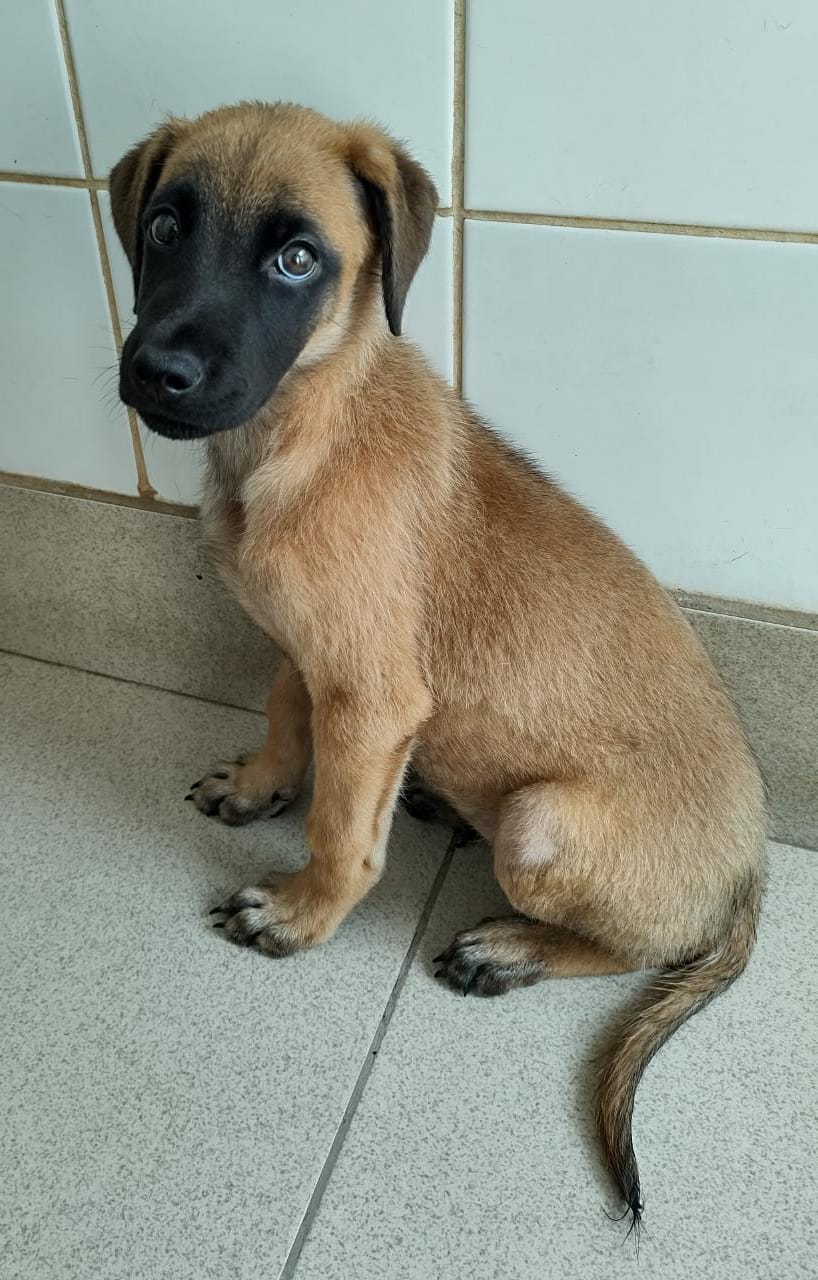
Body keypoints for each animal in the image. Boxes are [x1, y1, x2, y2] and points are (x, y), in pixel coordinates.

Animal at [110, 99, 768, 1218]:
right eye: (162, 226)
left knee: (636, 948)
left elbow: (341, 832)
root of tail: (754, 861)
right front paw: (258, 785)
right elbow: (283, 712)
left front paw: (300, 913)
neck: (304, 426)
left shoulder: (372, 697)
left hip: (543, 829)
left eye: (296, 257)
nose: (159, 372)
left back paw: (508, 947)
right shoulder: (312, 651)